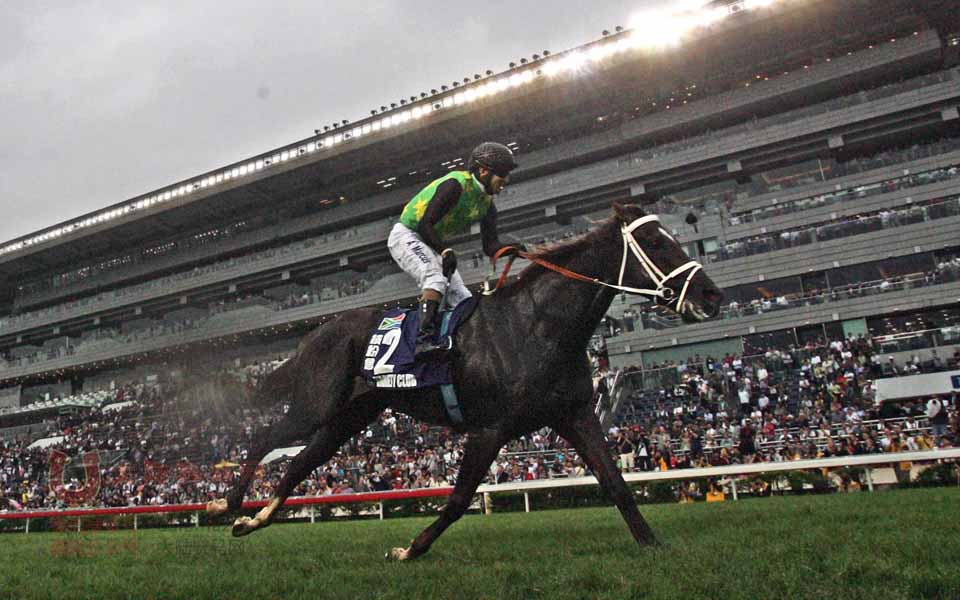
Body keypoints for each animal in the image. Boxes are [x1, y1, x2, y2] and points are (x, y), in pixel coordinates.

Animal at [205, 202, 723, 560]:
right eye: (656, 242)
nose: (711, 297)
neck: (538, 326)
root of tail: (313, 334)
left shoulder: (575, 415)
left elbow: (616, 483)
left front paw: (652, 545)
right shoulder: (489, 428)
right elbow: (457, 499)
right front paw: (409, 550)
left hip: (349, 417)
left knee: (299, 462)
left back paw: (254, 521)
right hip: (316, 404)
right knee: (265, 440)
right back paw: (226, 505)